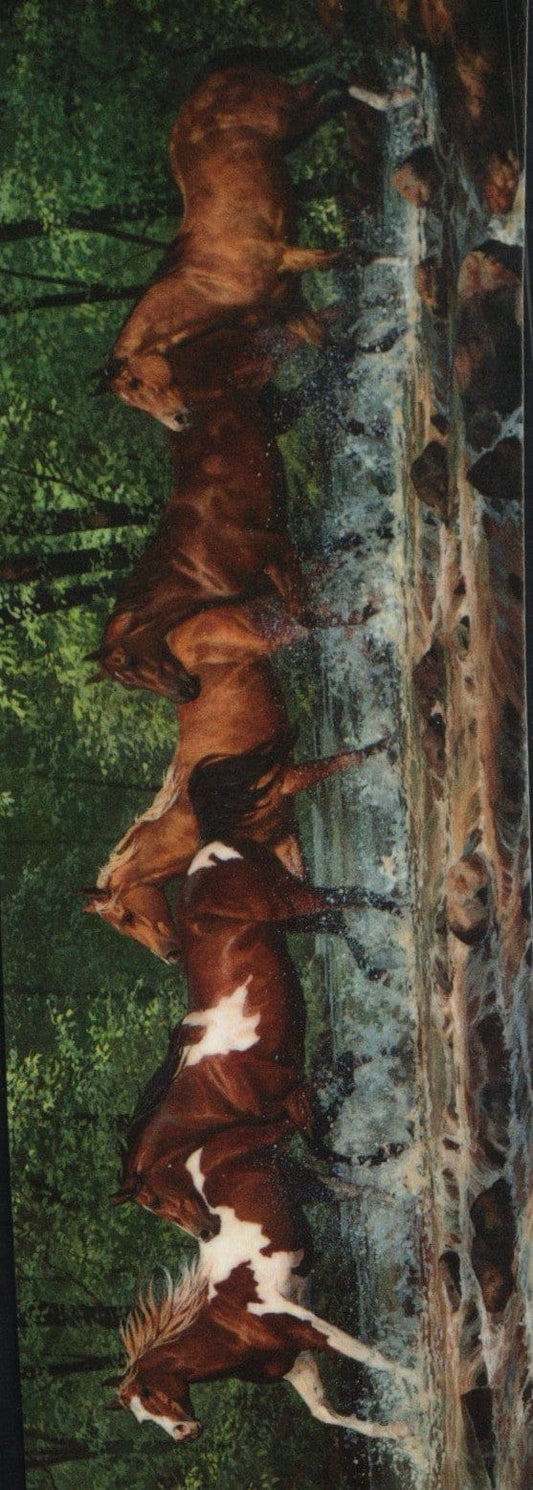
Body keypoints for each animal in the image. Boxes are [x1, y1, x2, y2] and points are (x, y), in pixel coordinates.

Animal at [82, 695, 391, 960]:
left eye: (127, 917)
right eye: (123, 927)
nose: (170, 955)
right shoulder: (284, 854)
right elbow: (329, 915)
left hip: (293, 779)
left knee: (343, 760)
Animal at [110, 837, 400, 1219]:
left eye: (155, 1201)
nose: (207, 1226)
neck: (218, 1086)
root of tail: (214, 851)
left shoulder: (294, 1093)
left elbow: (322, 1137)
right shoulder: (295, 1097)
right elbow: (334, 1097)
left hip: (288, 901)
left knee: (348, 896)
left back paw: (400, 912)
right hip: (292, 920)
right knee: (336, 918)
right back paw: (376, 970)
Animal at [116, 1141, 414, 1442]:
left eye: (148, 1392)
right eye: (143, 1419)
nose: (183, 1433)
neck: (232, 1324)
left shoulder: (306, 1326)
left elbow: (372, 1357)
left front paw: (417, 1380)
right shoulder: (296, 1362)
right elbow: (325, 1412)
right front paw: (403, 1432)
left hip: (306, 1183)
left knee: (363, 1192)